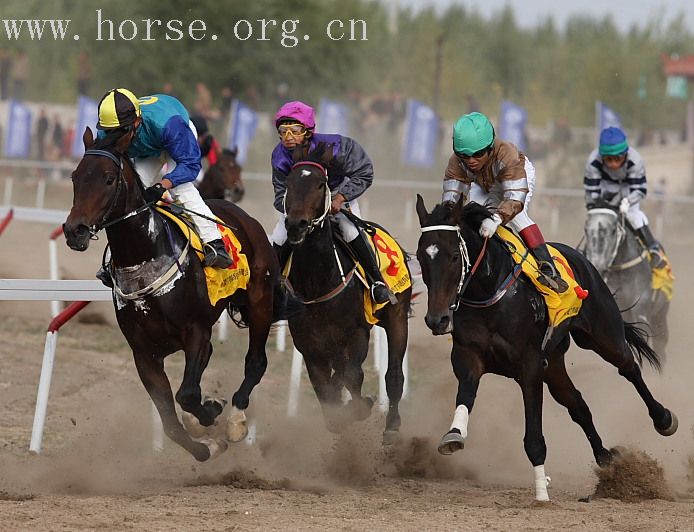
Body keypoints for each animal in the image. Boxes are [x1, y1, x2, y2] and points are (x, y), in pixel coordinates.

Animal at [62, 128, 280, 462]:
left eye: (109, 179)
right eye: (75, 177)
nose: (75, 231)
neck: (143, 256)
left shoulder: (196, 331)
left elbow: (187, 394)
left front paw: (211, 413)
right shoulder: (144, 353)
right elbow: (170, 422)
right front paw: (206, 441)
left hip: (259, 302)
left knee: (256, 362)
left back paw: (235, 420)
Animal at [284, 143, 414, 442]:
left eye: (320, 184)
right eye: (288, 183)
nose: (296, 225)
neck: (319, 280)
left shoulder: (356, 333)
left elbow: (353, 376)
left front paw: (362, 406)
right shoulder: (310, 347)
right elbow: (325, 391)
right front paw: (341, 416)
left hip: (397, 316)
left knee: (393, 375)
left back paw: (392, 425)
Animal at [584, 202, 672, 356]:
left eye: (613, 230)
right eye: (586, 230)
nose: (598, 265)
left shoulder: (641, 309)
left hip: (661, 313)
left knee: (661, 343)